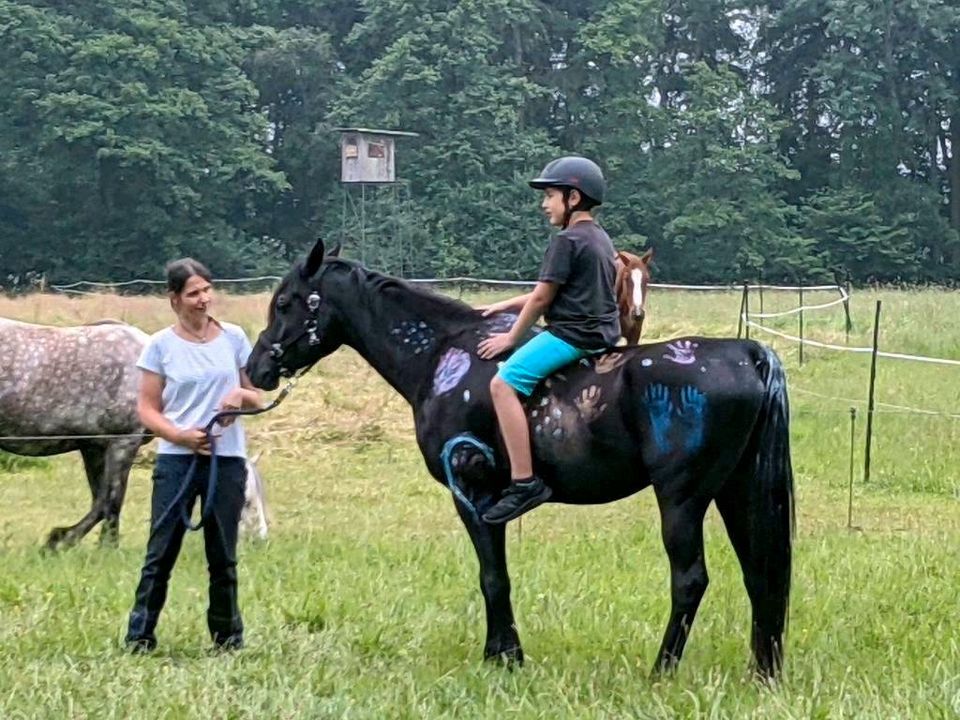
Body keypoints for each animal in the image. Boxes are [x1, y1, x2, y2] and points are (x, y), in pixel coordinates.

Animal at [0, 318, 149, 548]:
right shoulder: (124, 442)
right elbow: (112, 500)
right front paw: (104, 548)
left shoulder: (94, 447)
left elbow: (100, 501)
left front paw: (59, 540)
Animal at [248, 239, 796, 676]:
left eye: (285, 302)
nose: (256, 369)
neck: (444, 355)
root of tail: (745, 354)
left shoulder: (473, 495)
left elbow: (493, 578)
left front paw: (503, 656)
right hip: (736, 492)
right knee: (758, 572)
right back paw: (762, 669)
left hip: (682, 500)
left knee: (690, 580)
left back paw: (662, 668)